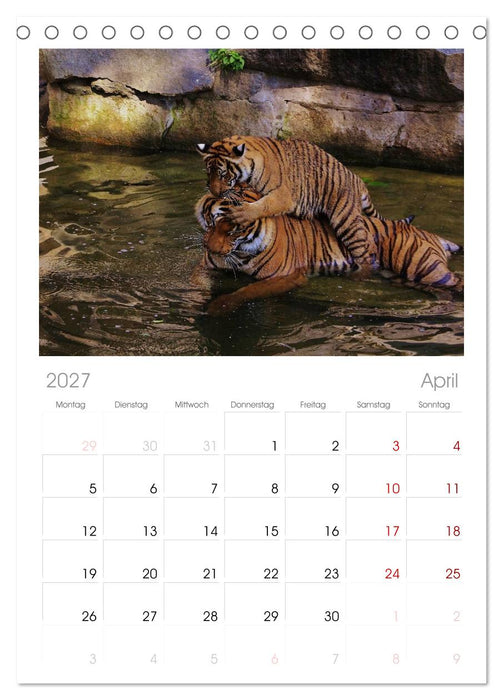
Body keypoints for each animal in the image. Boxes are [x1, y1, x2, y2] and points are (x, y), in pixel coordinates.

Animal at [194, 184, 463, 315]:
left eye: (235, 230)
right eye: (213, 222)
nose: (211, 248)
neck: (239, 251)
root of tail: (429, 233)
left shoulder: (287, 277)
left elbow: (247, 290)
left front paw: (218, 306)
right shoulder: (205, 267)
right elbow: (196, 284)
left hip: (424, 267)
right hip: (405, 277)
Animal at [196, 136, 395, 275]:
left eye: (223, 174)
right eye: (208, 173)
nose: (214, 192)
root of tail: (357, 179)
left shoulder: (282, 195)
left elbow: (263, 205)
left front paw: (242, 213)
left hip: (346, 220)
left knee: (367, 248)